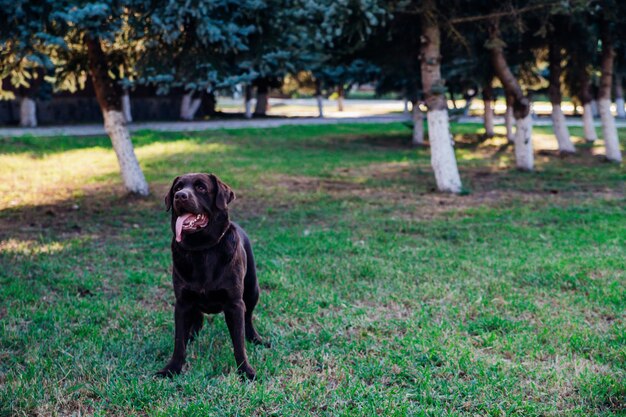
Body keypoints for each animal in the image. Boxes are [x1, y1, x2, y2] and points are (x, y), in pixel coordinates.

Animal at [157, 171, 264, 378]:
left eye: (201, 187)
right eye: (177, 188)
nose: (180, 196)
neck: (201, 249)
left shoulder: (234, 303)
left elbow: (239, 343)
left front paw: (245, 371)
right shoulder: (182, 302)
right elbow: (178, 341)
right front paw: (172, 368)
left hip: (252, 289)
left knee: (248, 317)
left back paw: (255, 338)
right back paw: (192, 335)